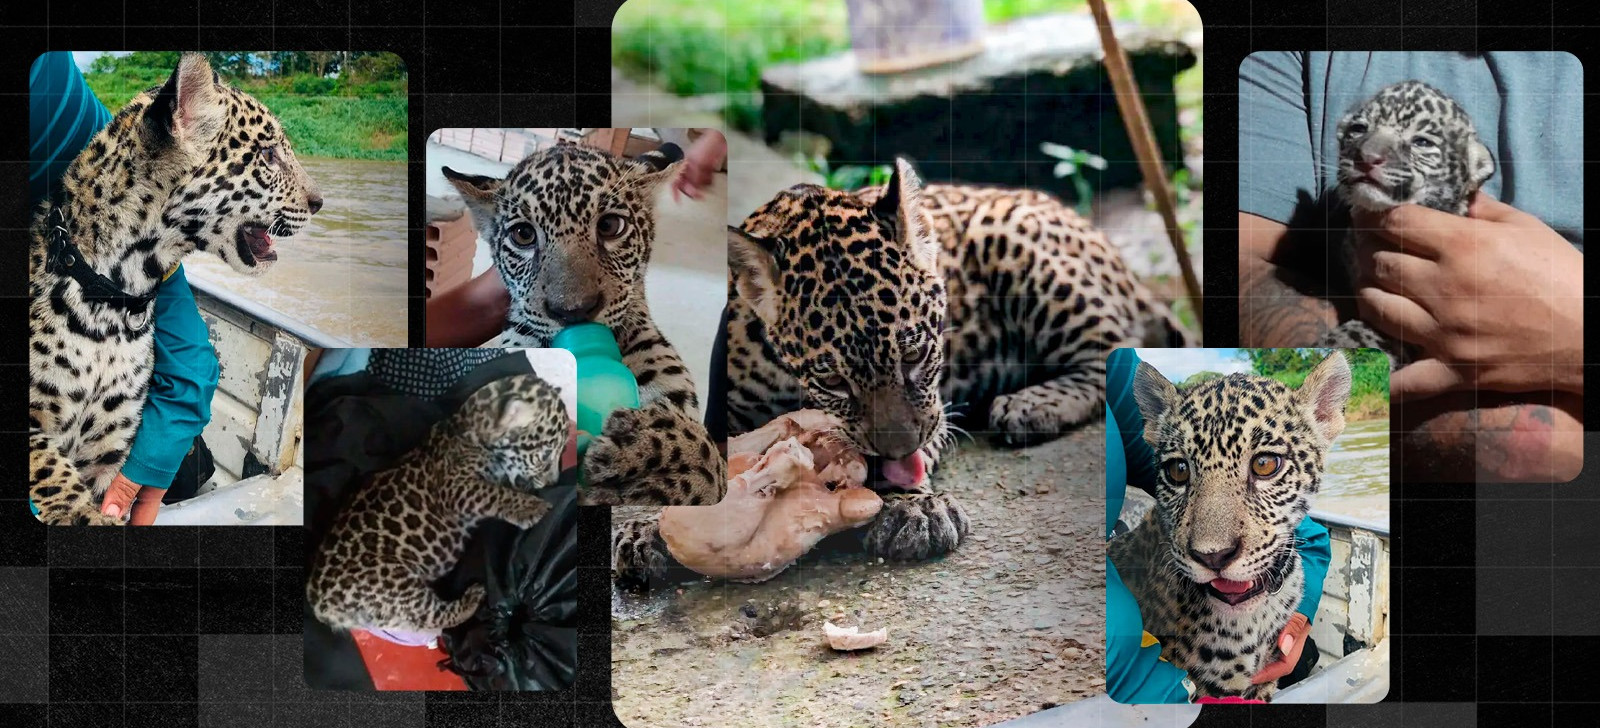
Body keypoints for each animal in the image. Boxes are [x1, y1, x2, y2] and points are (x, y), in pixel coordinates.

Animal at [29, 53, 322, 525]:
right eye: (268, 154)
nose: (320, 202)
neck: (116, 298)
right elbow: (49, 465)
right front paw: (80, 512)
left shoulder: (110, 452)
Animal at [307, 373, 567, 633]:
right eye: (545, 455)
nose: (554, 481)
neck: (469, 425)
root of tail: (321, 602)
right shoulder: (454, 488)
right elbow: (493, 492)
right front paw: (531, 507)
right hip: (396, 580)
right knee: (434, 616)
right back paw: (472, 598)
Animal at [613, 157, 1195, 588]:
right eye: (832, 380)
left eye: (915, 355)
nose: (896, 450)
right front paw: (645, 528)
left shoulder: (937, 404)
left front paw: (913, 508)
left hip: (1022, 246)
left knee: (1113, 356)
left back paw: (1030, 405)